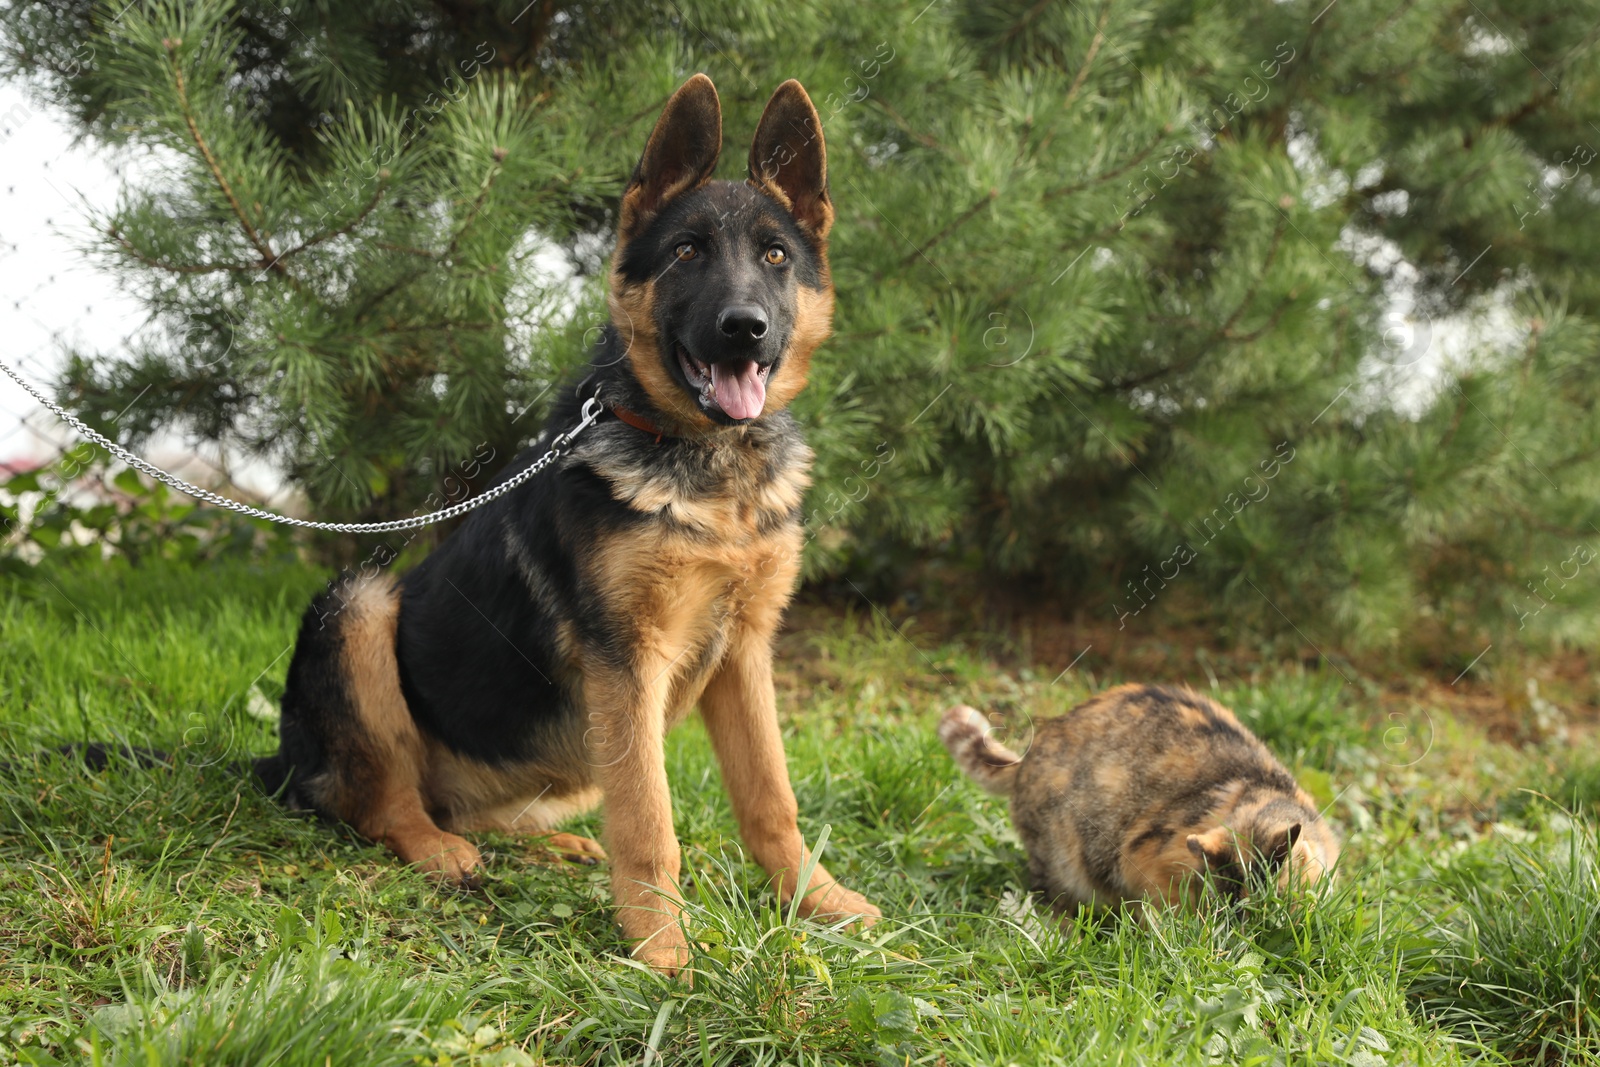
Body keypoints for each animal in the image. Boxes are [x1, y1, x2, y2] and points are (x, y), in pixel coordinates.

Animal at [264, 75, 889, 972]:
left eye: (776, 257)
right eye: (687, 253)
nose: (745, 328)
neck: (707, 467)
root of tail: (282, 759)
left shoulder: (745, 653)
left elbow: (772, 797)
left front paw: (819, 903)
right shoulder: (627, 659)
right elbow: (648, 817)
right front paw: (662, 946)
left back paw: (547, 846)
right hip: (357, 605)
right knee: (382, 803)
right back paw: (439, 849)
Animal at [934, 687, 1337, 921]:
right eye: (1229, 907)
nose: (1244, 931)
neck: (1261, 791)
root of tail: (1028, 755)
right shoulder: (1145, 856)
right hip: (1063, 861)